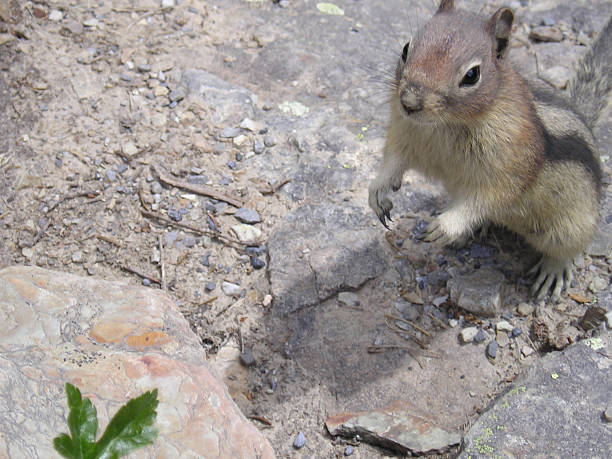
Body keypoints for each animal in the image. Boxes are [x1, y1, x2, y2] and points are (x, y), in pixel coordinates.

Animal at [370, 0, 608, 302]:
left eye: (472, 75)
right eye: (405, 48)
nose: (409, 102)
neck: (445, 124)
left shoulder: (509, 168)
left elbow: (486, 199)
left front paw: (446, 225)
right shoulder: (403, 136)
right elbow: (392, 162)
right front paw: (377, 192)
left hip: (569, 226)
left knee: (567, 249)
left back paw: (554, 270)